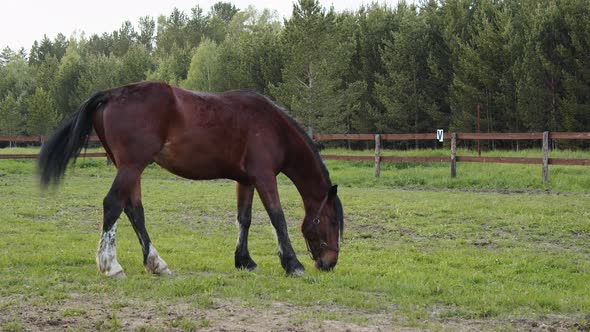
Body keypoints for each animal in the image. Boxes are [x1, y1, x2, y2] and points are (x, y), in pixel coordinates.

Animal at [39, 81, 344, 278]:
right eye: (331, 222)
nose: (330, 263)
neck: (272, 127)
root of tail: (112, 94)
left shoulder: (245, 180)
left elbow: (244, 219)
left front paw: (244, 260)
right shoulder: (264, 177)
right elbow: (277, 217)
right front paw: (292, 264)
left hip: (130, 169)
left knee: (134, 210)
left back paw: (155, 263)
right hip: (131, 166)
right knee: (113, 204)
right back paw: (111, 265)